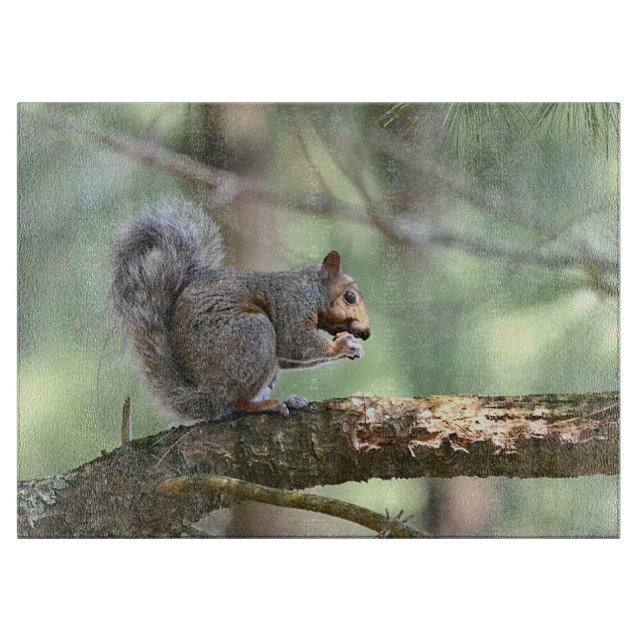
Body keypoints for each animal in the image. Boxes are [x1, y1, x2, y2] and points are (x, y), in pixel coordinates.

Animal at [111, 202, 371, 421]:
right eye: (350, 297)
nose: (366, 332)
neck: (311, 289)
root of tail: (206, 396)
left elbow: (288, 356)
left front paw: (353, 347)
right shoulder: (291, 306)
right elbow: (296, 343)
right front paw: (344, 345)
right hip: (254, 335)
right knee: (235, 404)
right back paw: (270, 404)